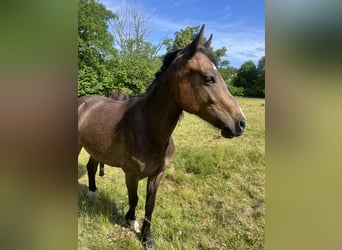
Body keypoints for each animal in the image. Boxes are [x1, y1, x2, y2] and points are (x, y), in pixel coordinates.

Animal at [78, 24, 246, 248]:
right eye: (209, 78)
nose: (241, 123)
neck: (147, 130)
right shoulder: (131, 175)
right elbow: (134, 199)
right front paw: (131, 221)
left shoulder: (157, 174)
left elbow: (150, 204)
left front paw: (147, 237)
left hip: (95, 149)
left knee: (91, 167)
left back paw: (93, 192)